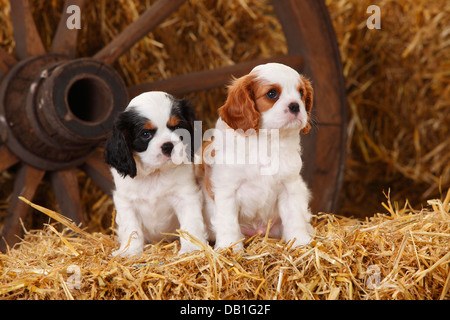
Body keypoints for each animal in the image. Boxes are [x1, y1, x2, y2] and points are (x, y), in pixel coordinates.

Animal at [104, 91, 207, 256]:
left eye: (178, 127)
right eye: (146, 134)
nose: (168, 146)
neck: (155, 173)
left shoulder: (186, 196)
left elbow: (190, 224)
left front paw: (191, 249)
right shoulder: (126, 202)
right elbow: (131, 229)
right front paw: (129, 252)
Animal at [200, 62, 312, 250]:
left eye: (301, 93)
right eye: (272, 93)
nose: (295, 105)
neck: (265, 141)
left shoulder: (290, 187)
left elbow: (294, 217)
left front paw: (300, 243)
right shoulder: (227, 191)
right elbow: (228, 223)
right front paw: (230, 248)